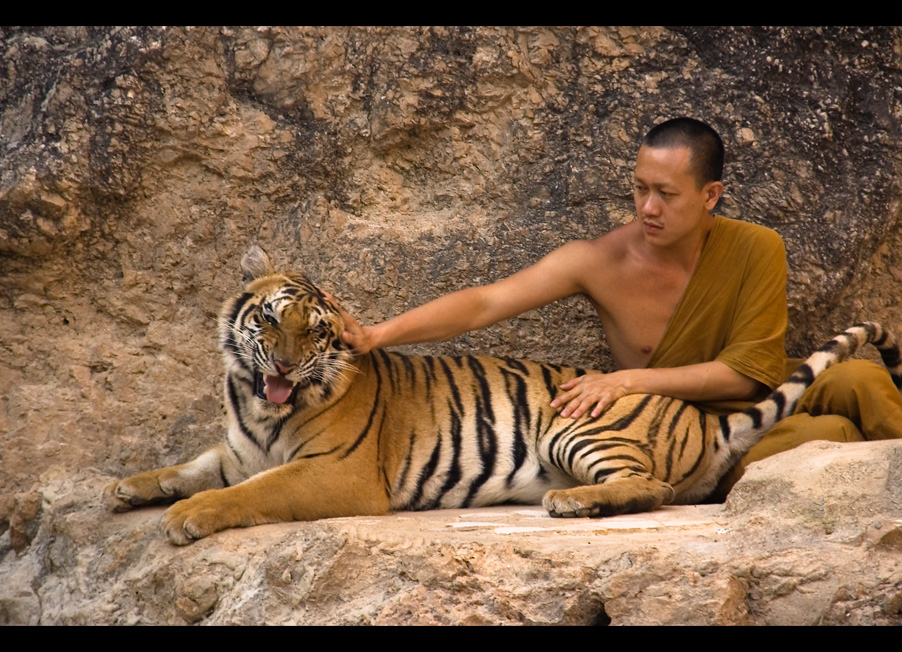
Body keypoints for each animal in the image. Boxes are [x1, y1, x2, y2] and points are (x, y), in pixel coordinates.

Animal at [102, 246, 902, 544]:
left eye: (316, 331)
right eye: (270, 319)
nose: (290, 366)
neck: (259, 404)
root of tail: (703, 424)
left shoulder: (336, 473)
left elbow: (246, 493)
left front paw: (188, 516)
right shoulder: (238, 448)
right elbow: (192, 466)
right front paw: (125, 486)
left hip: (576, 428)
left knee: (652, 488)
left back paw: (575, 503)